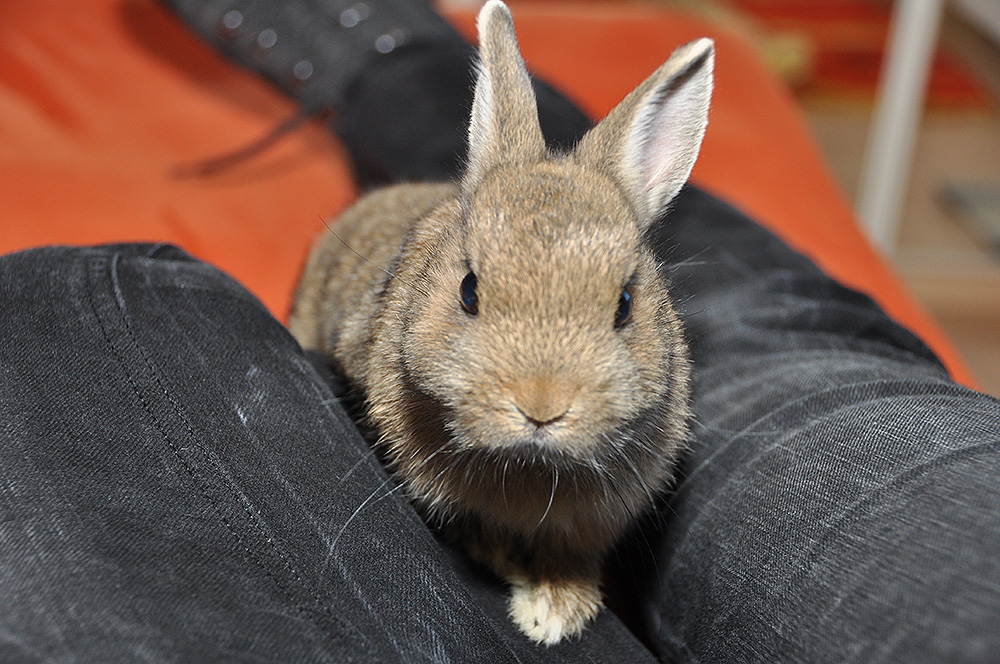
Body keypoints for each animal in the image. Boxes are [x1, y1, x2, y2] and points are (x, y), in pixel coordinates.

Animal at [290, 0, 712, 644]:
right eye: (469, 291)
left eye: (624, 305)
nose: (542, 405)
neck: (531, 464)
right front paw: (517, 574)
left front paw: (555, 611)